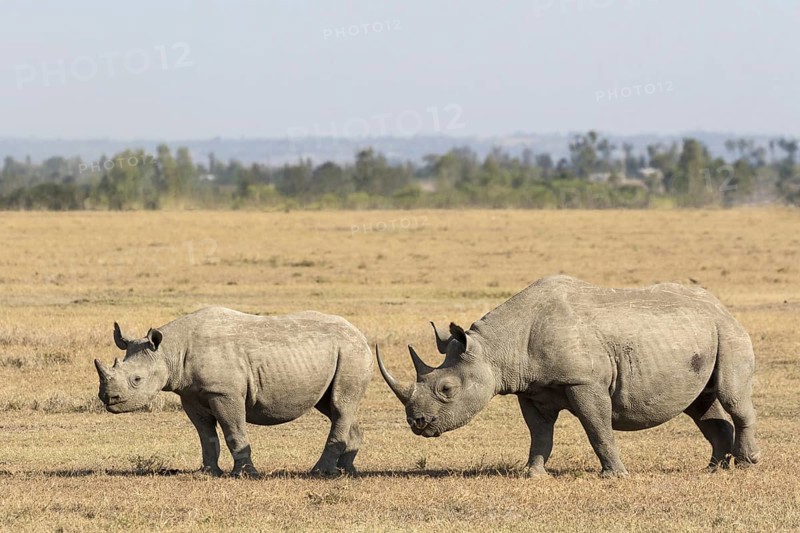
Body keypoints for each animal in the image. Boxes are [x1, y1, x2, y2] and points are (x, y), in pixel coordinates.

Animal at [94, 307, 373, 477]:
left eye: (137, 380)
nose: (109, 399)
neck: (170, 351)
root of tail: (360, 334)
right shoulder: (191, 395)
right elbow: (206, 436)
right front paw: (208, 472)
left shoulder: (223, 392)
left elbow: (233, 431)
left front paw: (245, 474)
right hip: (339, 354)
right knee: (334, 407)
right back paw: (345, 471)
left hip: (351, 353)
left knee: (339, 405)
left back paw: (320, 472)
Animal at [377, 275, 761, 477]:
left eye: (446, 389)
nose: (417, 424)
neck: (496, 347)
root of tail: (722, 306)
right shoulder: (531, 389)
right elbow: (540, 434)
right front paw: (532, 475)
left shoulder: (584, 382)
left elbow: (597, 429)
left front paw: (614, 476)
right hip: (698, 334)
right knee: (700, 405)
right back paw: (714, 469)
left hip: (727, 332)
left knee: (732, 396)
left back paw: (747, 464)